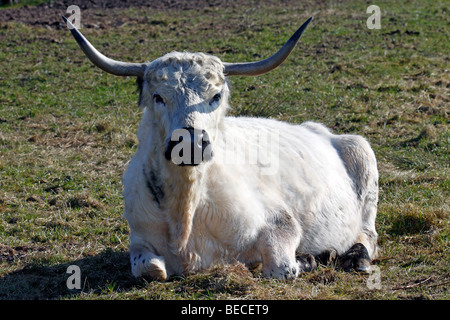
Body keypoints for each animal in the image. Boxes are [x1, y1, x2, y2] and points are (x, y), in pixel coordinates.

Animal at [63, 16, 378, 278]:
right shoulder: (139, 240)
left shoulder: (281, 222)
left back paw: (354, 257)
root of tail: (319, 129)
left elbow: (282, 268)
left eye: (215, 96)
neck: (186, 210)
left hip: (364, 158)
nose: (189, 143)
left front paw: (307, 259)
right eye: (158, 97)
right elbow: (149, 268)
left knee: (367, 234)